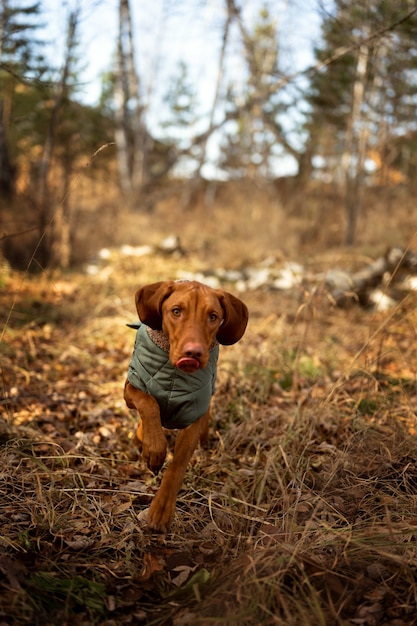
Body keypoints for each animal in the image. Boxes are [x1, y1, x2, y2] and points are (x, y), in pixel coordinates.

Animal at [123, 280, 247, 528]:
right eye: (176, 311)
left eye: (213, 316)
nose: (194, 352)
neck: (174, 375)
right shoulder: (131, 387)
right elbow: (148, 403)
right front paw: (154, 447)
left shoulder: (194, 415)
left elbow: (177, 466)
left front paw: (162, 508)